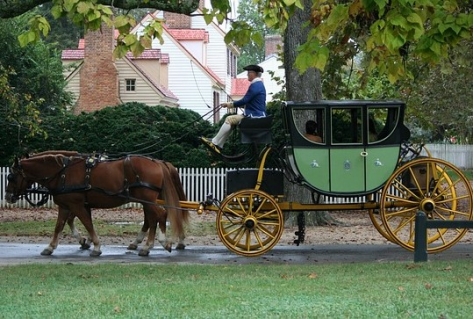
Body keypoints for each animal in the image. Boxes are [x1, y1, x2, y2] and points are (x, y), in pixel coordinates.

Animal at [6, 153, 187, 258]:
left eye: (11, 177)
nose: (8, 196)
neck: (62, 173)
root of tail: (157, 162)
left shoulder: (77, 205)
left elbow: (87, 224)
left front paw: (95, 246)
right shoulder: (66, 206)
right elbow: (59, 226)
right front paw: (50, 247)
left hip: (147, 199)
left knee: (159, 215)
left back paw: (159, 243)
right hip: (146, 200)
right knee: (153, 219)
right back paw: (147, 246)